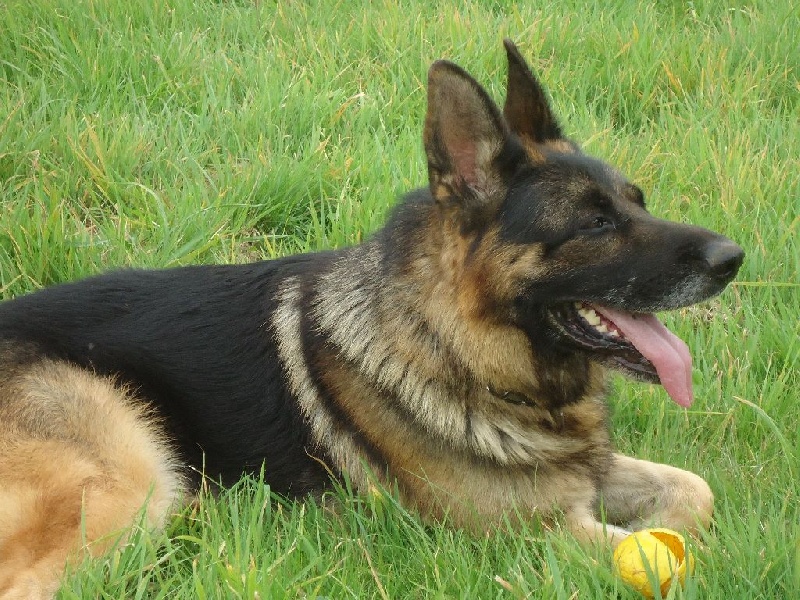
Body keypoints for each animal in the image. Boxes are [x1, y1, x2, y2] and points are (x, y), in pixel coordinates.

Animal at [0, 40, 743, 598]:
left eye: (637, 201)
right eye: (593, 224)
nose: (732, 258)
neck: (455, 346)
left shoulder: (580, 475)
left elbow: (696, 492)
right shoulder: (536, 530)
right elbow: (664, 551)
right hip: (130, 483)